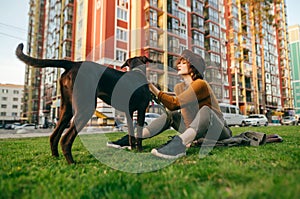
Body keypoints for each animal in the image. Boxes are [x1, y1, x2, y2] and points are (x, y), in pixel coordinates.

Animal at [15, 43, 152, 163]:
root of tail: (73, 64)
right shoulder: (141, 109)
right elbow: (139, 133)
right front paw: (140, 150)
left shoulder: (129, 112)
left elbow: (131, 134)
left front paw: (133, 149)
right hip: (86, 107)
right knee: (65, 139)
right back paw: (71, 163)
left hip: (66, 109)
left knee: (54, 136)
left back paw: (56, 158)